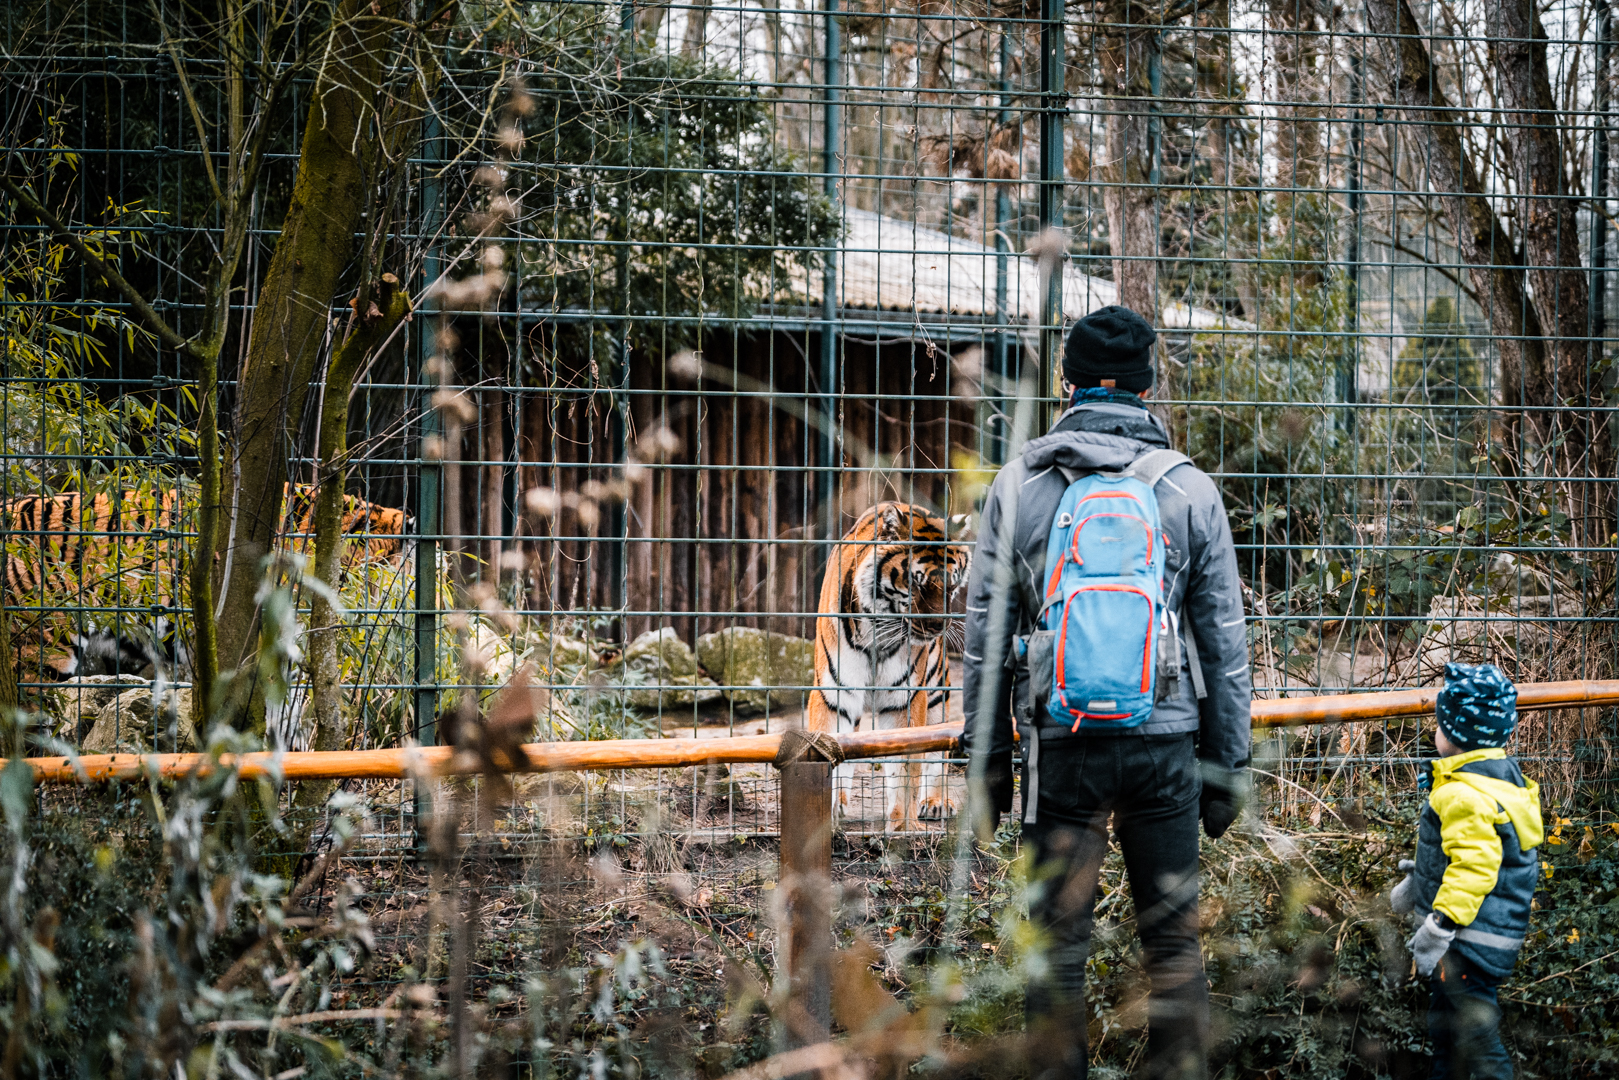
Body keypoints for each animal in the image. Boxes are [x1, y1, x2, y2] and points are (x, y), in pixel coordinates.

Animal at [806, 502, 972, 832]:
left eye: (952, 584)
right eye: (915, 582)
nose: (938, 626)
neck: (879, 630)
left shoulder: (905, 698)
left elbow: (907, 766)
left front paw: (903, 828)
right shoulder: (834, 693)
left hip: (936, 691)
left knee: (938, 748)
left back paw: (935, 801)